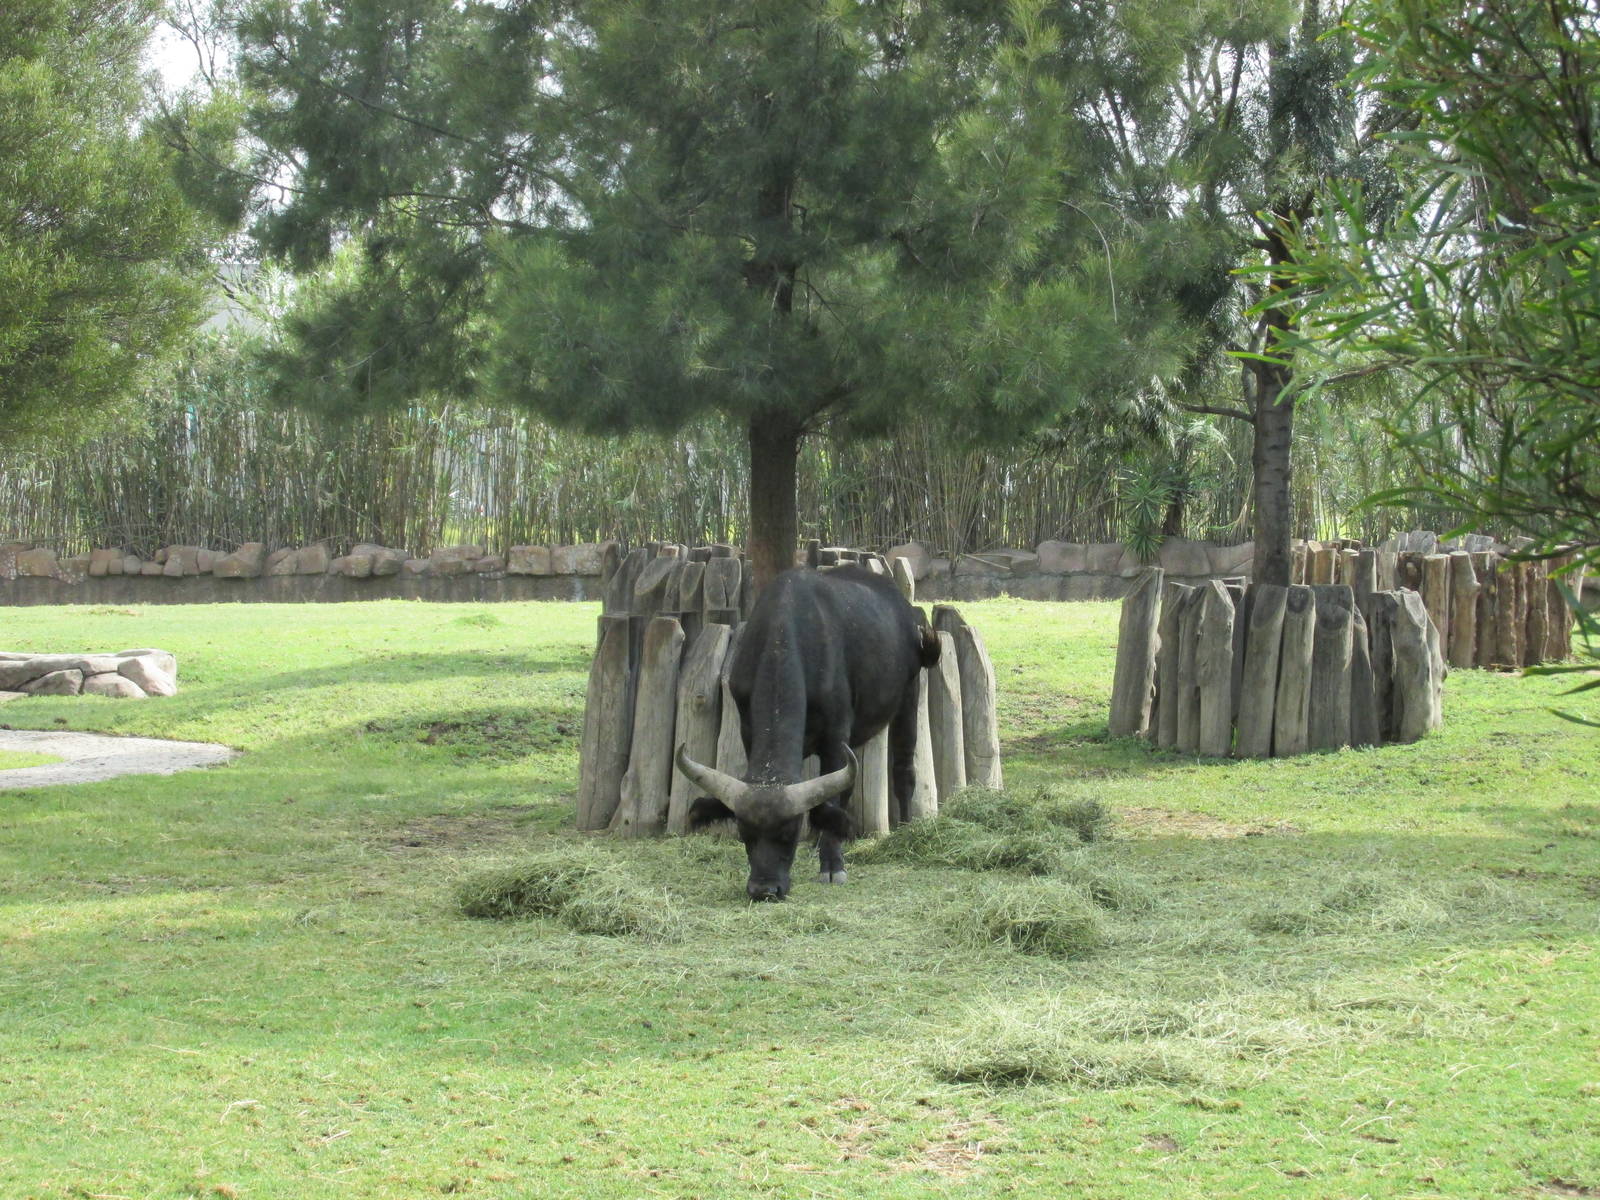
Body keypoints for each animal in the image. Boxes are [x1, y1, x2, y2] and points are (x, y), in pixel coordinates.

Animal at [675, 564, 939, 900]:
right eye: (745, 833)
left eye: (789, 833)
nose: (764, 889)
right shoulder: (749, 730)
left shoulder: (836, 739)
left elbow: (831, 801)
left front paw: (833, 865)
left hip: (908, 696)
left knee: (903, 770)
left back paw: (903, 826)